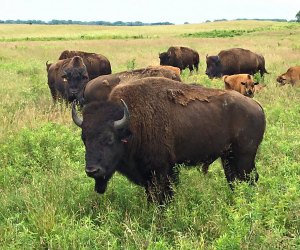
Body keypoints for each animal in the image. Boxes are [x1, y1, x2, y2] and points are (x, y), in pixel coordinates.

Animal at [72, 77, 264, 204]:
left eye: (109, 139)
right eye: (84, 138)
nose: (92, 170)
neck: (132, 124)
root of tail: (257, 107)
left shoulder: (161, 171)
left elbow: (162, 196)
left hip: (244, 157)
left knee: (249, 179)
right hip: (228, 157)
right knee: (234, 180)